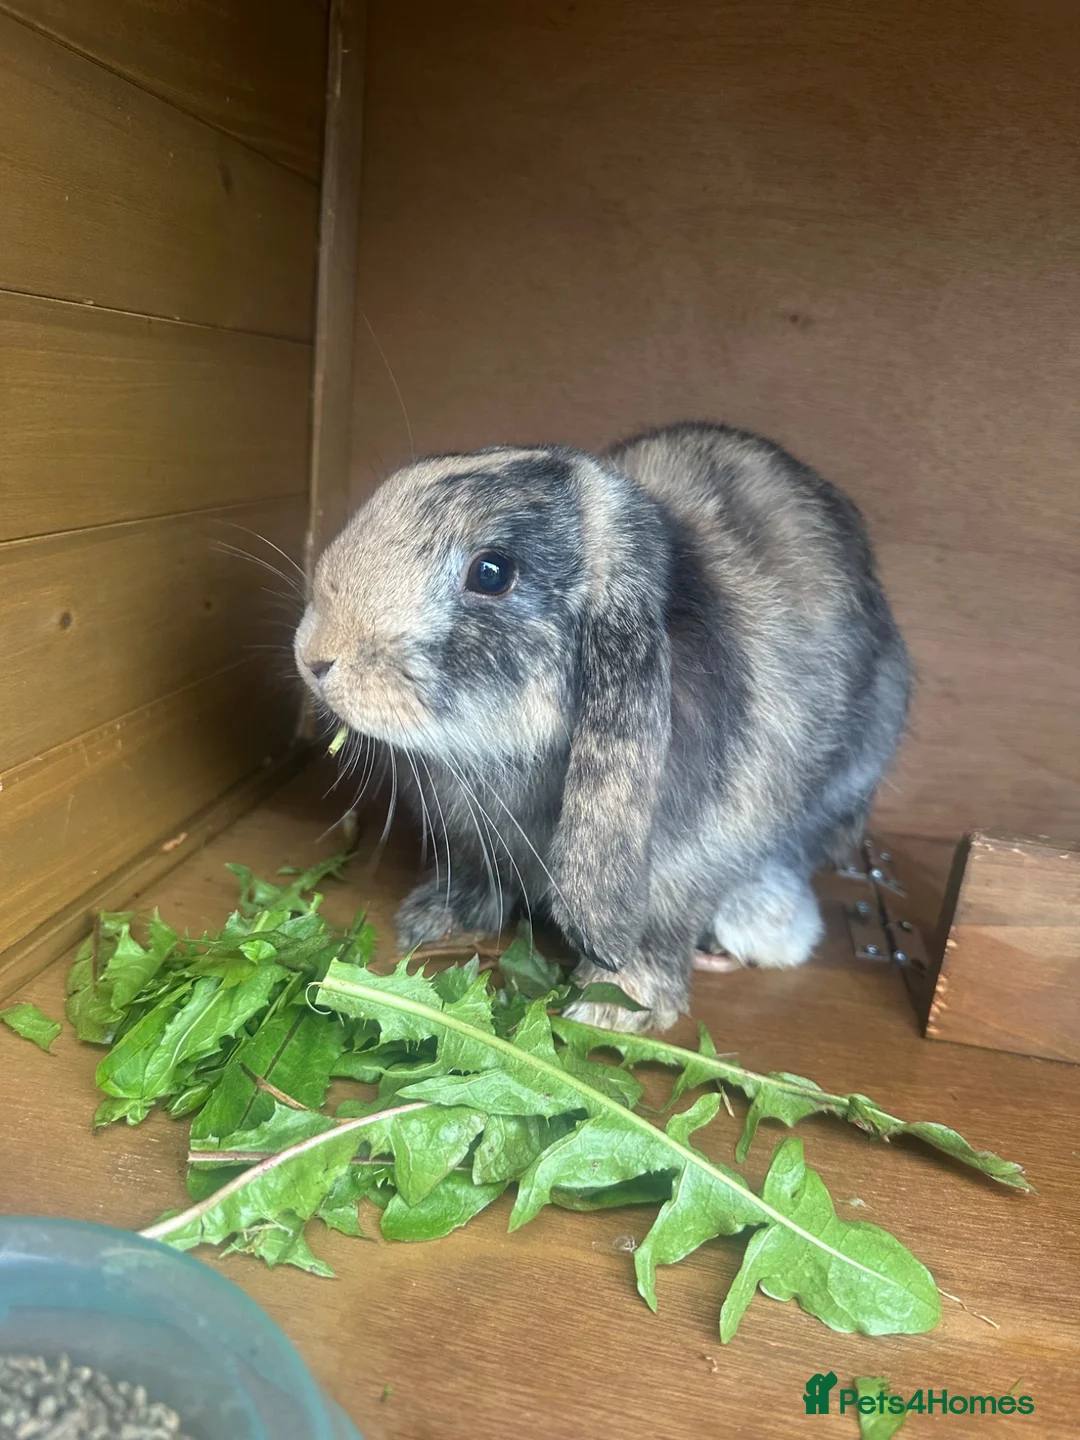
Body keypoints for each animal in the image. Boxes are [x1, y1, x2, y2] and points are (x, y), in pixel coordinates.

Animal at [294, 421, 911, 1033]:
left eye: (491, 572)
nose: (316, 656)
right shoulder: (472, 841)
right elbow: (478, 871)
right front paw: (431, 919)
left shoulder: (698, 856)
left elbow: (662, 923)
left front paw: (614, 1005)